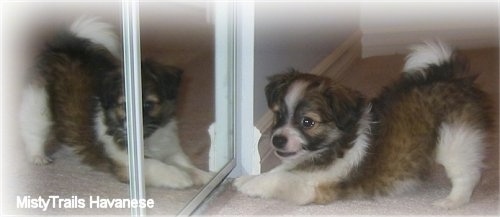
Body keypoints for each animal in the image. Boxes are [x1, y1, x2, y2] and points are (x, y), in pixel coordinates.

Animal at [18, 17, 211, 189]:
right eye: (124, 106)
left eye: (148, 105)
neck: (149, 138)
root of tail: (66, 47)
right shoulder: (126, 162)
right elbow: (155, 165)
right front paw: (180, 176)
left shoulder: (170, 148)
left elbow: (183, 162)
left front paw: (201, 175)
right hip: (38, 102)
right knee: (34, 131)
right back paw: (37, 156)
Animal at [235, 41, 492, 209]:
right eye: (278, 116)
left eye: (308, 122)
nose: (277, 139)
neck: (331, 145)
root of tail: (450, 77)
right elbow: (279, 170)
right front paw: (247, 179)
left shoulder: (314, 187)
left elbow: (279, 179)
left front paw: (251, 185)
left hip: (455, 140)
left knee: (467, 174)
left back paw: (451, 201)